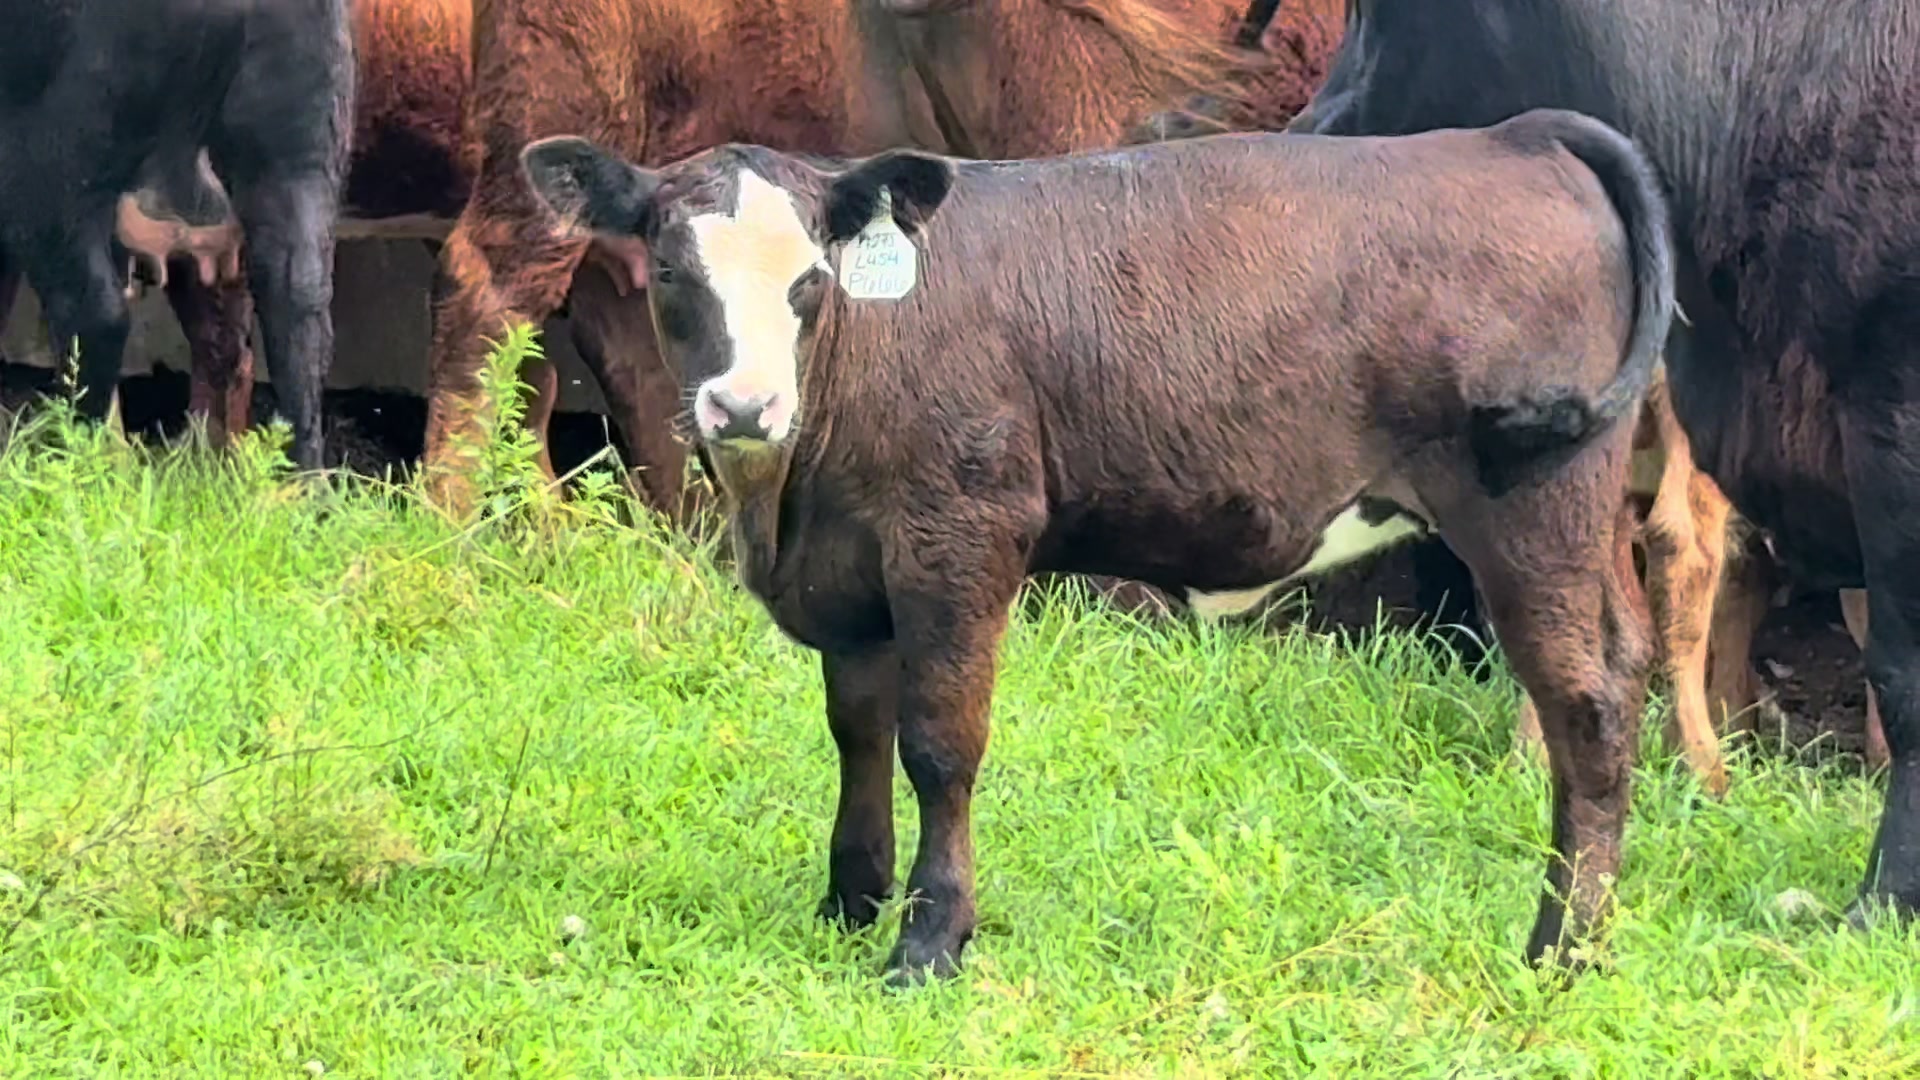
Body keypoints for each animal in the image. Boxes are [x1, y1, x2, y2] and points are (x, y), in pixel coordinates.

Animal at [517, 105, 1677, 980]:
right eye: (671, 272)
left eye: (811, 280)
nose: (745, 405)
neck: (788, 498)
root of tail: (1514, 135)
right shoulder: (849, 576)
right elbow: (857, 732)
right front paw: (851, 901)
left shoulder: (960, 535)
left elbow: (939, 744)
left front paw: (930, 940)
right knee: (1624, 668)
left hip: (1531, 507)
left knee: (1584, 707)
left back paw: (1560, 952)